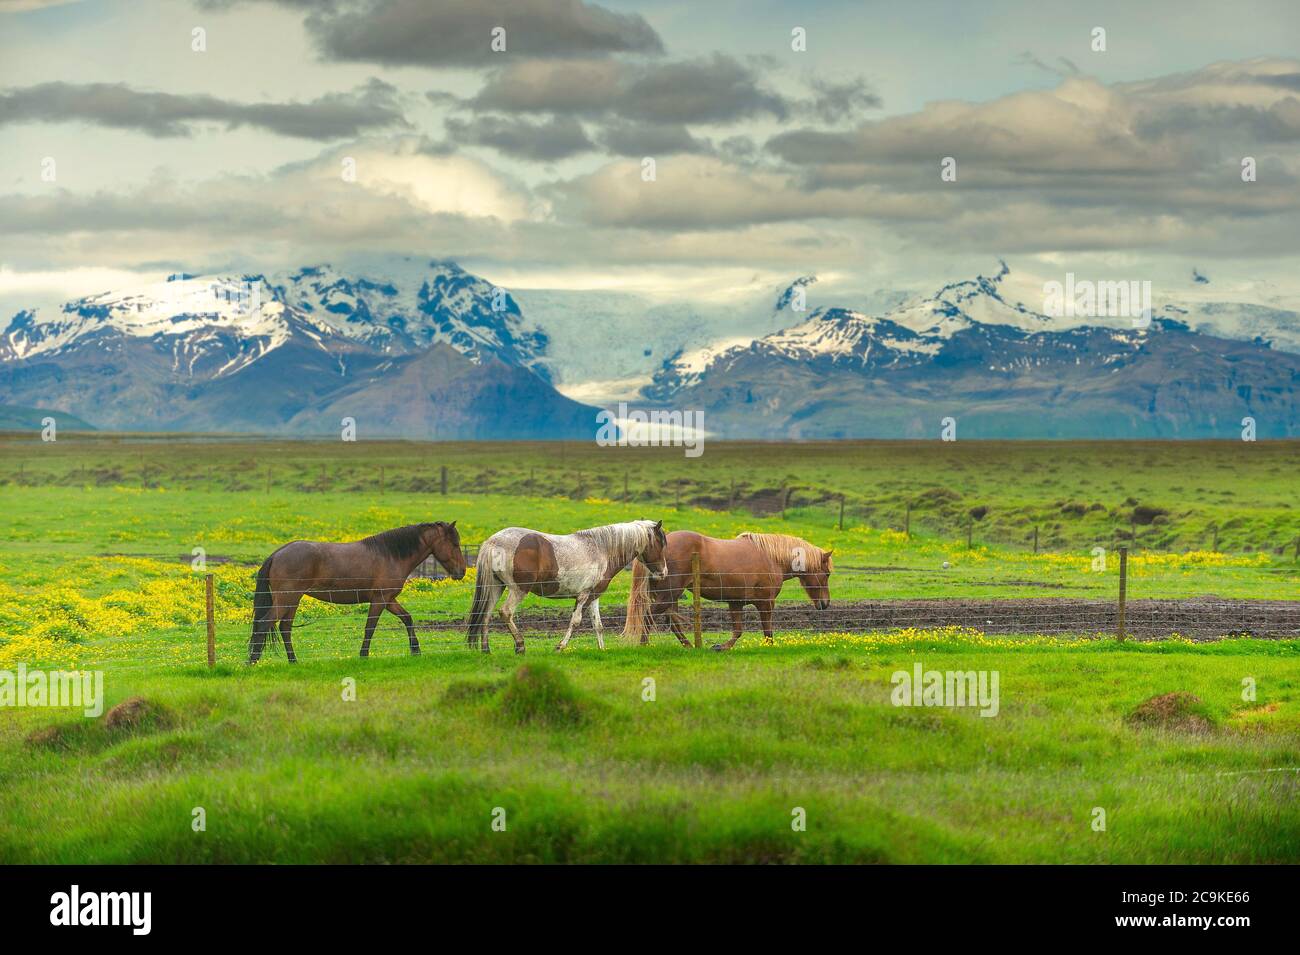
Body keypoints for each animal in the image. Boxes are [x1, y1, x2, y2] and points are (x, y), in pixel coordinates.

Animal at [248, 522, 467, 665]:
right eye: (455, 544)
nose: (462, 572)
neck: (390, 555)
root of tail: (277, 554)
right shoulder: (379, 600)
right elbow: (370, 628)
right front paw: (363, 655)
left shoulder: (389, 600)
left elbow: (407, 619)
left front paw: (416, 651)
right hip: (287, 599)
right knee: (265, 623)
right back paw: (252, 661)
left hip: (292, 600)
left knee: (285, 628)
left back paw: (293, 661)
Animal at [621, 530, 832, 649]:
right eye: (827, 574)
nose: (825, 604)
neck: (772, 558)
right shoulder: (766, 603)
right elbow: (768, 632)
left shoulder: (735, 603)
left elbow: (738, 631)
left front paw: (721, 647)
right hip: (669, 595)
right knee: (648, 617)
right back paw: (645, 645)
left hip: (671, 597)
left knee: (671, 623)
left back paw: (689, 646)